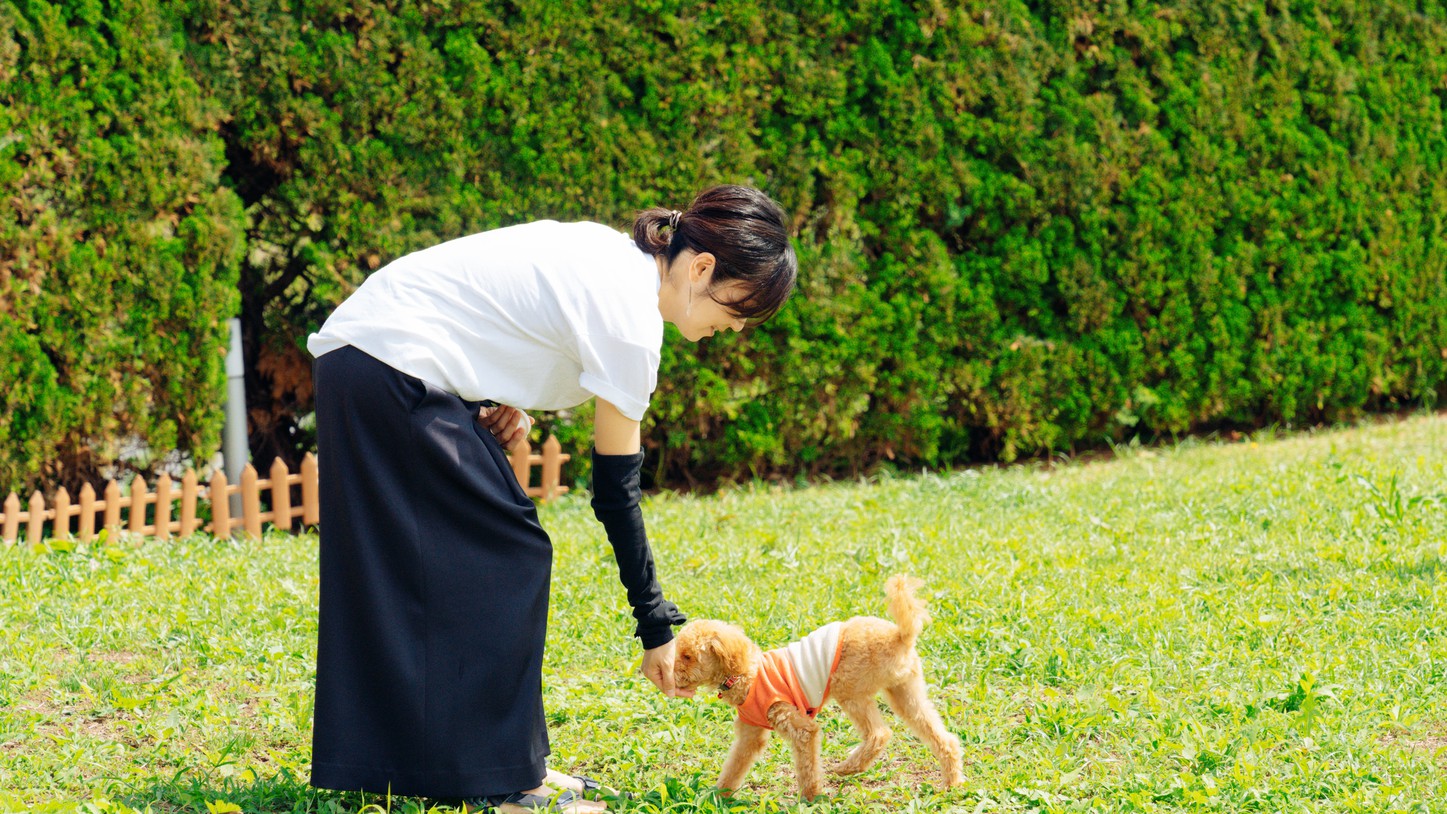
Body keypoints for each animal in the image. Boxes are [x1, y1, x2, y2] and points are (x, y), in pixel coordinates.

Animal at [671, 575, 966, 798]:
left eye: (687, 656)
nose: (671, 677)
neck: (747, 673)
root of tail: (900, 635)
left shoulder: (799, 727)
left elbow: (808, 765)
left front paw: (811, 798)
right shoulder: (750, 735)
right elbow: (735, 765)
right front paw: (719, 796)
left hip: (849, 687)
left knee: (879, 734)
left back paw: (848, 768)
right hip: (905, 691)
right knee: (942, 736)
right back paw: (952, 782)